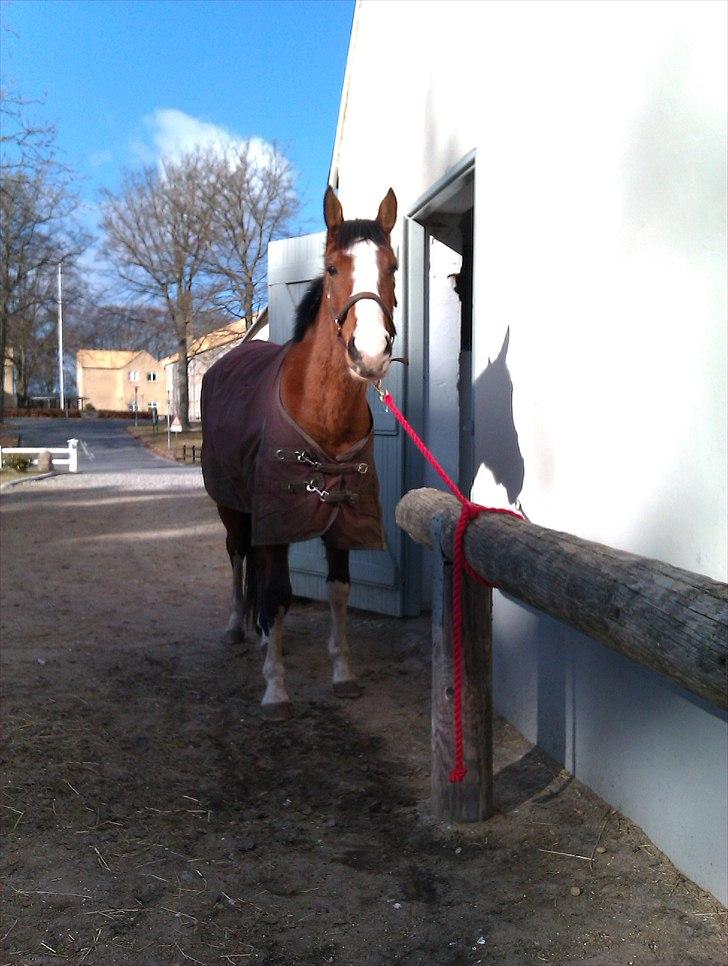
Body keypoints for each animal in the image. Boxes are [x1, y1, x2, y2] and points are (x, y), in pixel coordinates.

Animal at [200, 187, 398, 720]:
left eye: (392, 266)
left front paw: (343, 673)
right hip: (231, 506)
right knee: (236, 555)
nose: (370, 354)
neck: (320, 412)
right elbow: (276, 594)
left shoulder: (342, 515)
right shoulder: (276, 516)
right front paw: (276, 688)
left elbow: (339, 591)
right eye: (331, 268)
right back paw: (236, 627)